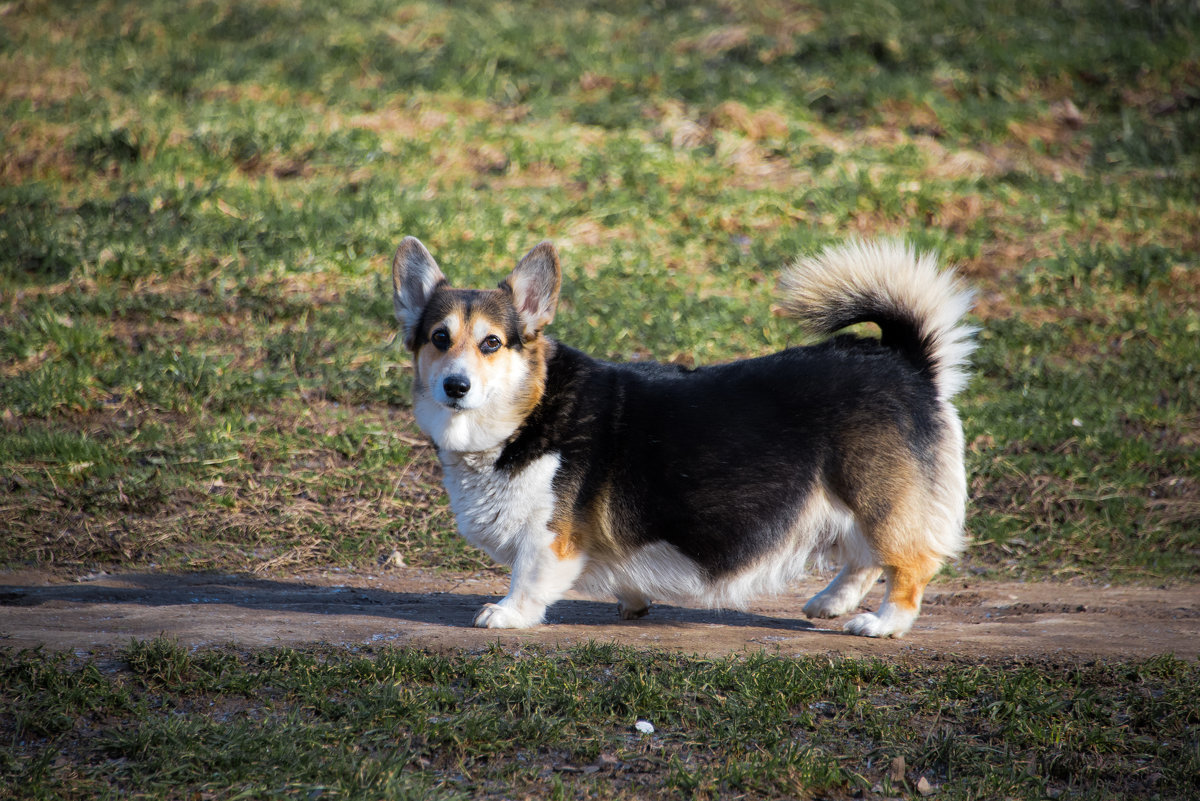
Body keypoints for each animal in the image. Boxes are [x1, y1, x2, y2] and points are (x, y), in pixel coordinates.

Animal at [393, 237, 974, 637]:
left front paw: (506, 612)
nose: (455, 386)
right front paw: (632, 601)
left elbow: (528, 575)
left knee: (910, 564)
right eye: (439, 338)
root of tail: (908, 361)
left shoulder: (548, 535)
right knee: (865, 556)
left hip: (877, 496)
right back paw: (829, 602)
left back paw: (884, 623)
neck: (528, 413)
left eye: (491, 343)